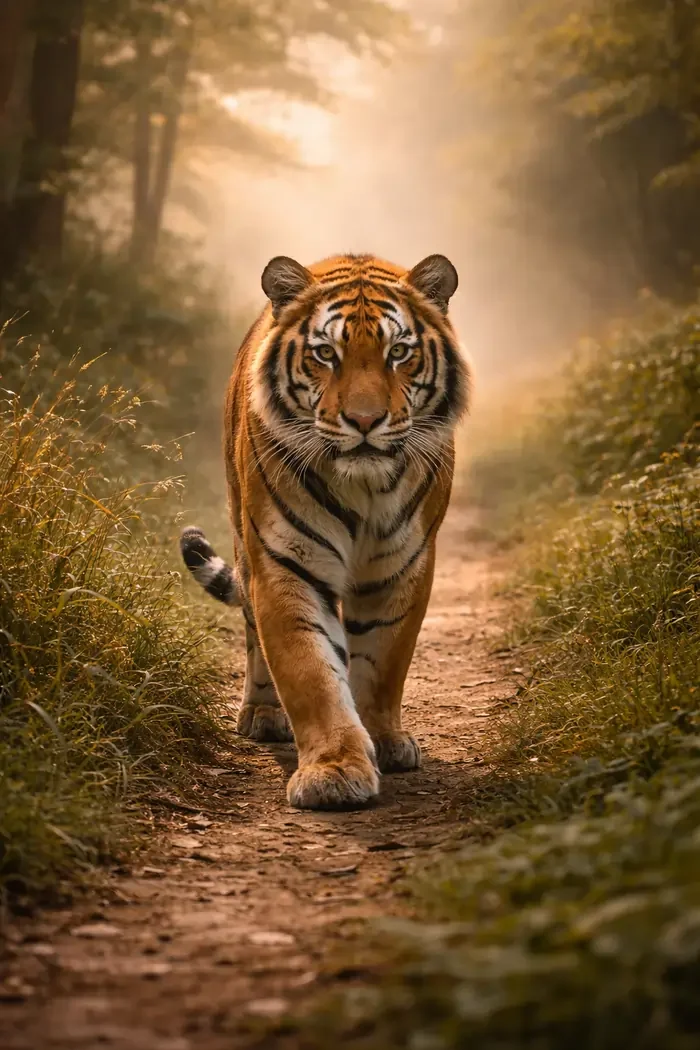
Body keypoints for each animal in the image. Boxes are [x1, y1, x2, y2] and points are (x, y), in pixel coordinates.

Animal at [180, 252, 470, 810]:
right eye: (325, 354)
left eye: (398, 352)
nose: (364, 420)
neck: (365, 487)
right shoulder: (285, 564)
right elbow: (310, 670)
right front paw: (334, 770)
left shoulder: (404, 565)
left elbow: (382, 664)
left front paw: (383, 740)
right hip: (243, 536)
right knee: (253, 632)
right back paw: (262, 714)